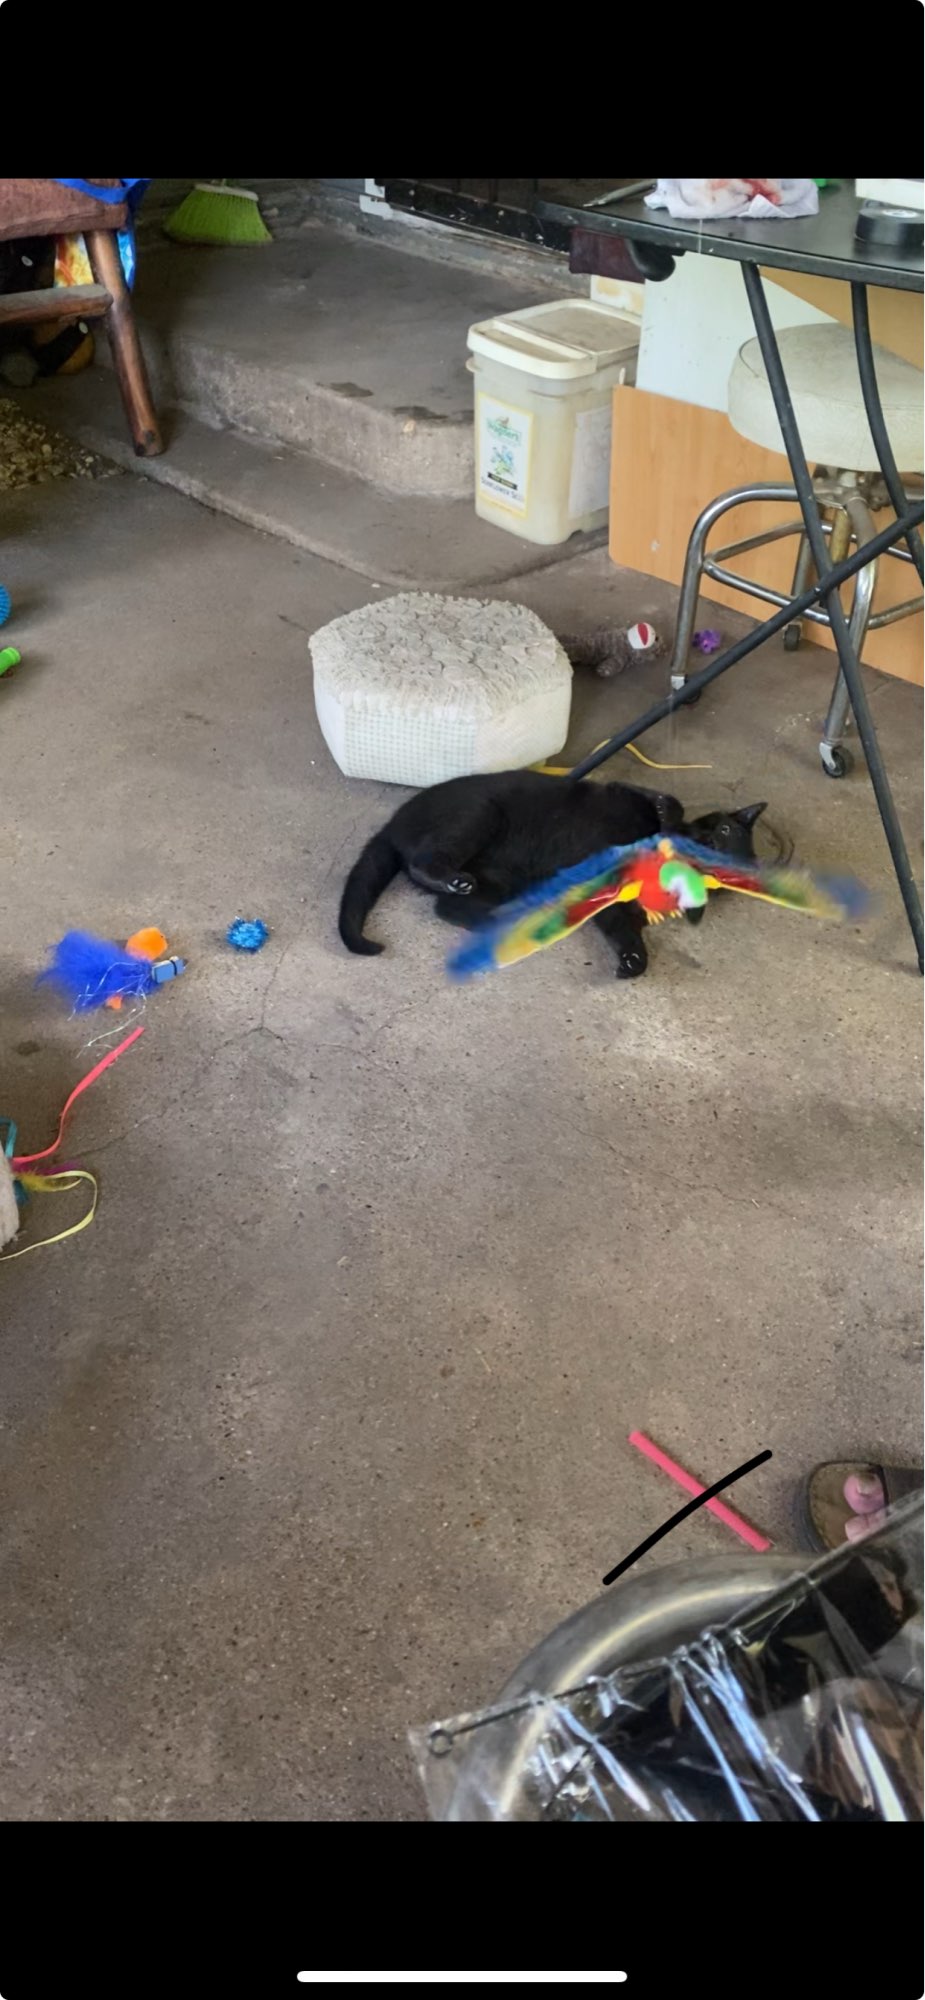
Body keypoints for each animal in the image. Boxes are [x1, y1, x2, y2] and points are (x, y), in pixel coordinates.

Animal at [338, 769, 767, 978]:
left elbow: (625, 933)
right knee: (426, 863)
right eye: (724, 831)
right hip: (478, 814)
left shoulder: (614, 904)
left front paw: (633, 962)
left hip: (504, 881)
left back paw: (500, 919)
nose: (710, 845)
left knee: (447, 908)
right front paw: (666, 811)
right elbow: (669, 803)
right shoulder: (624, 791)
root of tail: (393, 824)